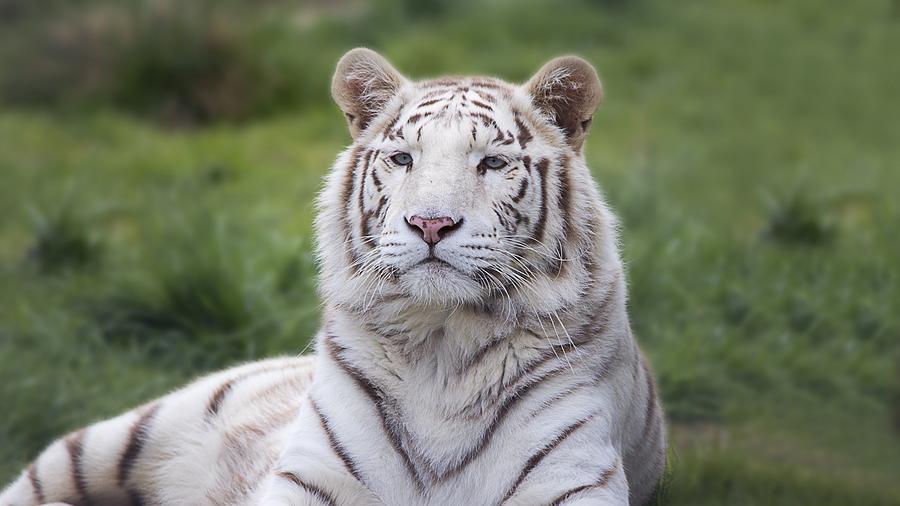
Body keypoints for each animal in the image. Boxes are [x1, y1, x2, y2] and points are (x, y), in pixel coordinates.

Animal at [1, 48, 668, 506]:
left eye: (493, 162)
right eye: (402, 158)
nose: (430, 223)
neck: (444, 345)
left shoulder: (570, 478)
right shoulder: (311, 475)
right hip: (120, 437)